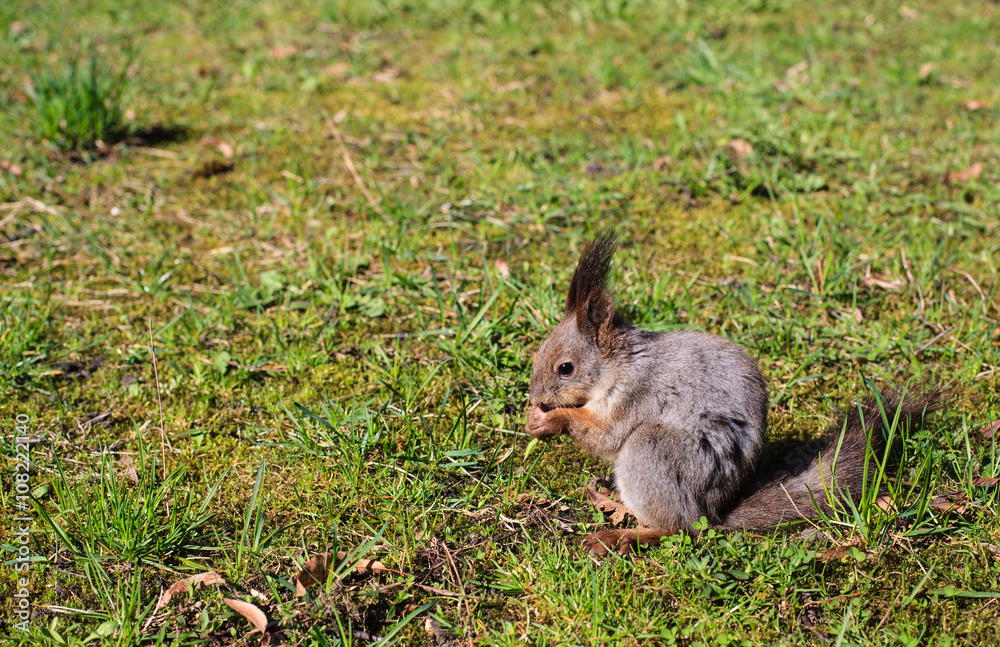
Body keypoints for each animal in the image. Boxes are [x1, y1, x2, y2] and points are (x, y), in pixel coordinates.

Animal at [525, 234, 942, 555]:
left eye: (566, 368)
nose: (536, 396)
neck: (621, 365)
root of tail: (713, 513)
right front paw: (534, 418)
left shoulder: (636, 395)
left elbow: (606, 436)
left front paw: (551, 419)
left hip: (654, 453)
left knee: (677, 527)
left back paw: (621, 532)